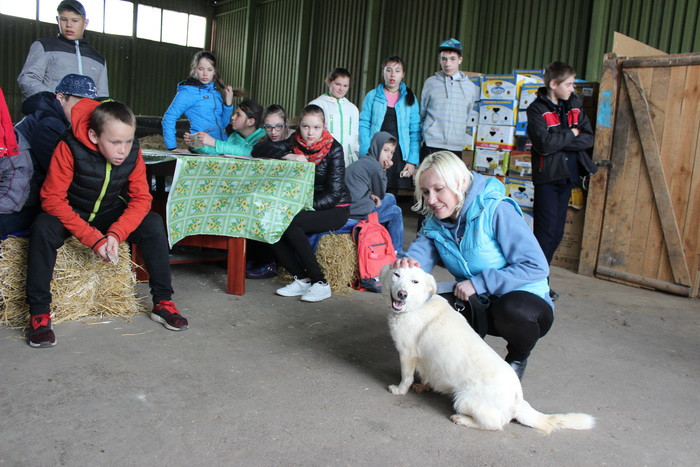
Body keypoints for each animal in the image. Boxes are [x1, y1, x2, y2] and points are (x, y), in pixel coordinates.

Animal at [382, 266, 596, 436]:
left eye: (415, 281)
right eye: (396, 274)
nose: (402, 294)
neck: (417, 306)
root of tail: (518, 401)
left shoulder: (407, 354)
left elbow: (406, 378)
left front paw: (400, 390)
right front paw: (423, 385)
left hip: (463, 400)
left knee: (495, 425)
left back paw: (462, 419)